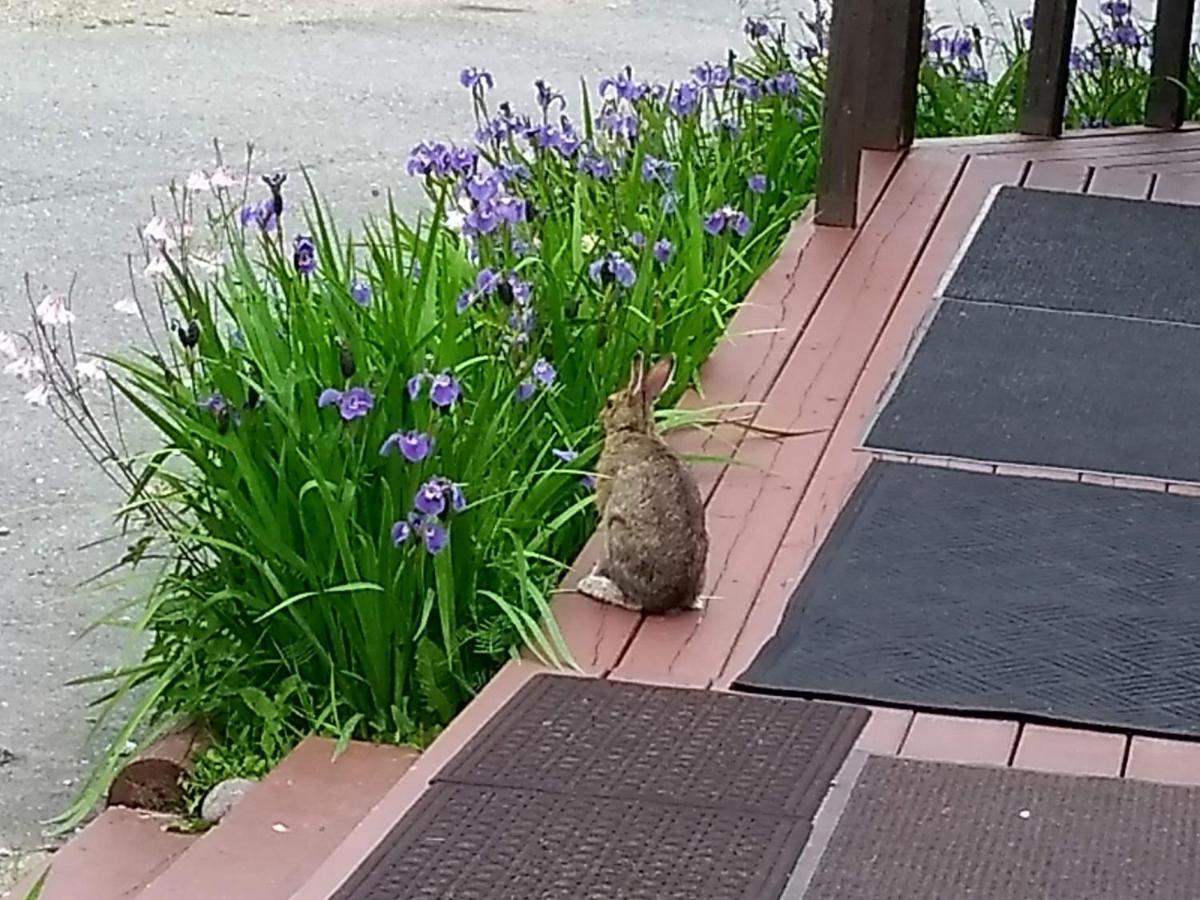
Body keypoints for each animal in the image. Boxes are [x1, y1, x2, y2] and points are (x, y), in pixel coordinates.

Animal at [576, 352, 705, 614]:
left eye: (610, 403)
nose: (600, 416)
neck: (634, 429)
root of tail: (670, 600)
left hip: (617, 530)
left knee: (632, 601)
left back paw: (593, 585)